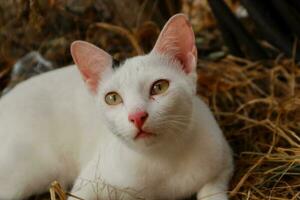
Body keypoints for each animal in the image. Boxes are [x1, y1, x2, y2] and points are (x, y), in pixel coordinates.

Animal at [0, 14, 233, 200]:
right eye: (112, 98)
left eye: (159, 87)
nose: (137, 116)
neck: (163, 161)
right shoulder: (89, 184)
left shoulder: (224, 161)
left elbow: (212, 190)